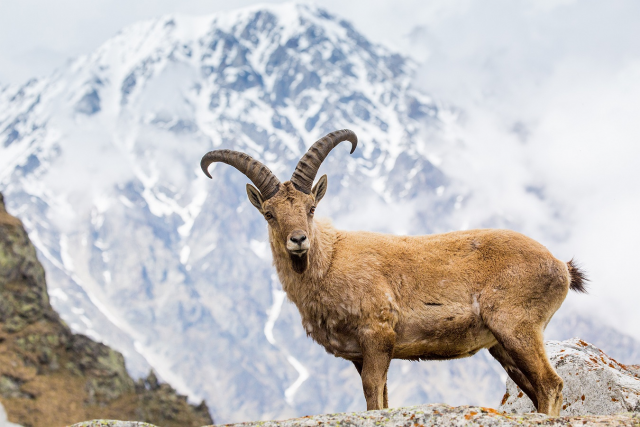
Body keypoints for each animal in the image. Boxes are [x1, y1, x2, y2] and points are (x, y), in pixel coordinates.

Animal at [200, 129, 584, 416]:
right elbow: (381, 397)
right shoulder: (359, 352)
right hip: (502, 345)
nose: (298, 240)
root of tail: (560, 267)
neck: (330, 262)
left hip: (517, 326)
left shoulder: (377, 333)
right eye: (269, 214)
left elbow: (374, 392)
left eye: (311, 208)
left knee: (551, 385)